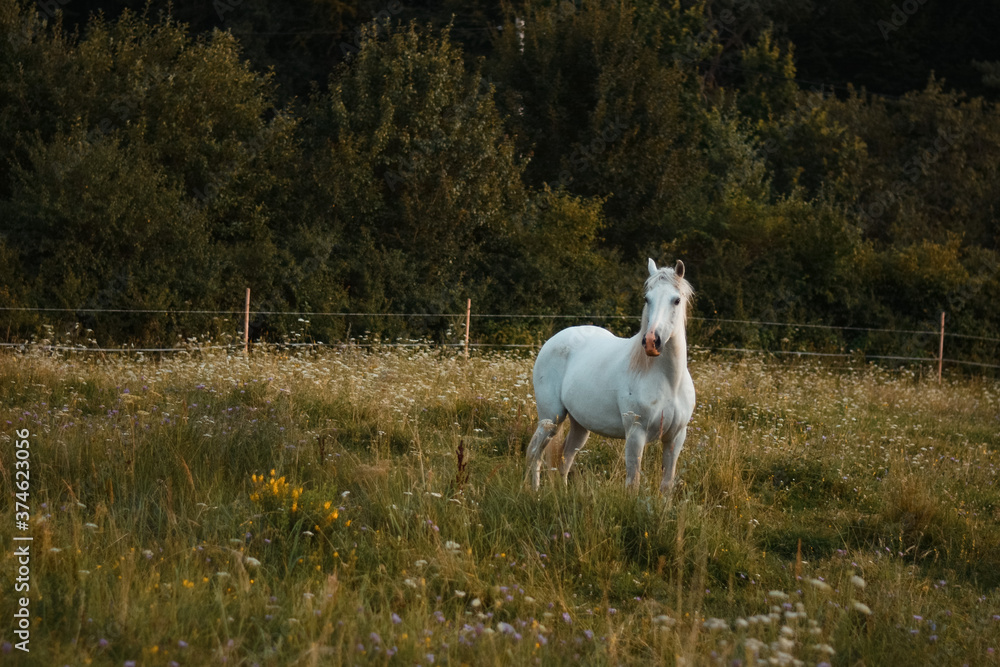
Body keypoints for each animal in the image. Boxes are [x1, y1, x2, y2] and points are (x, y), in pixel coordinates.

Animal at [525, 258, 696, 494]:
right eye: (647, 298)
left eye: (676, 300)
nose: (651, 342)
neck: (670, 381)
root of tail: (554, 339)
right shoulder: (635, 434)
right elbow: (633, 482)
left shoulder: (675, 438)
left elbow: (667, 484)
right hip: (551, 418)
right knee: (535, 453)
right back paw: (535, 492)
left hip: (579, 425)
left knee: (565, 458)